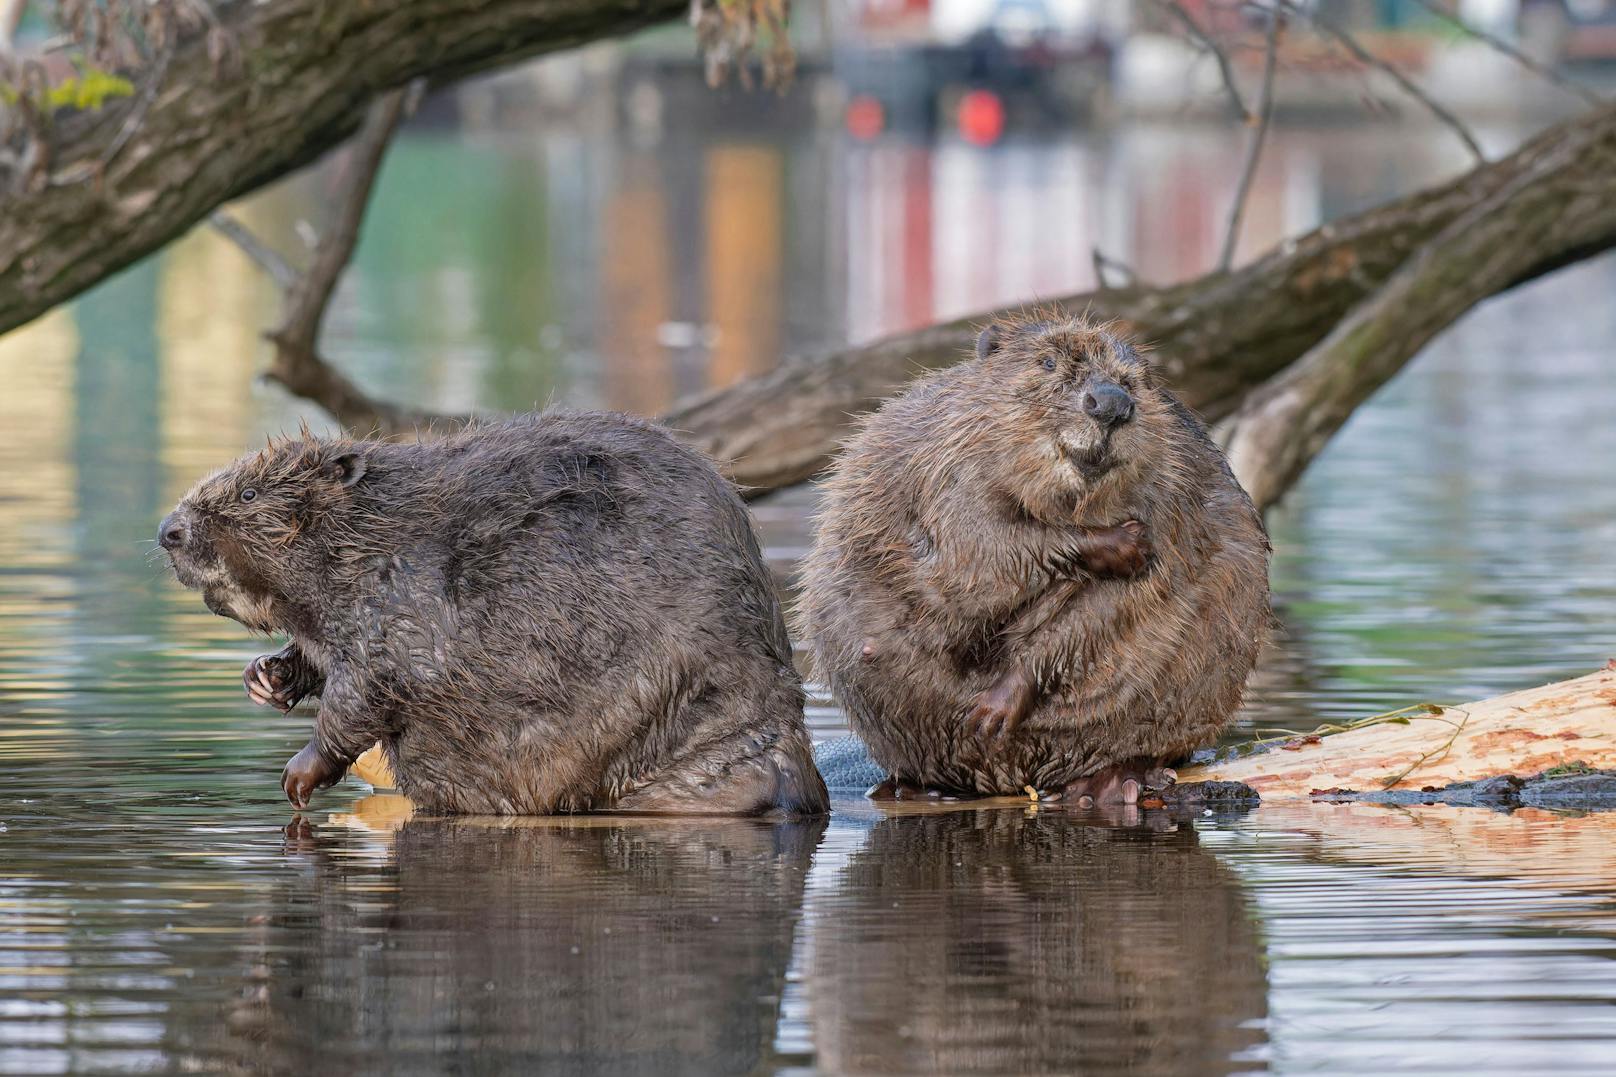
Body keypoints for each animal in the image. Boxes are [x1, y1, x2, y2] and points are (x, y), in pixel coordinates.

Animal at [160, 410, 833, 815]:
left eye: (249, 492)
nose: (170, 530)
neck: (377, 533)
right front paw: (266, 677)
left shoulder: (403, 596)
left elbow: (372, 686)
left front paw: (298, 776)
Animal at [798, 310, 1273, 795]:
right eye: (1047, 362)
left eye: (1132, 381)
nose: (1111, 404)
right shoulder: (946, 466)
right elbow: (976, 547)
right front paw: (1122, 543)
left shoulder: (1170, 500)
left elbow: (1106, 606)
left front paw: (992, 711)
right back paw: (918, 788)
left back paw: (1113, 784)